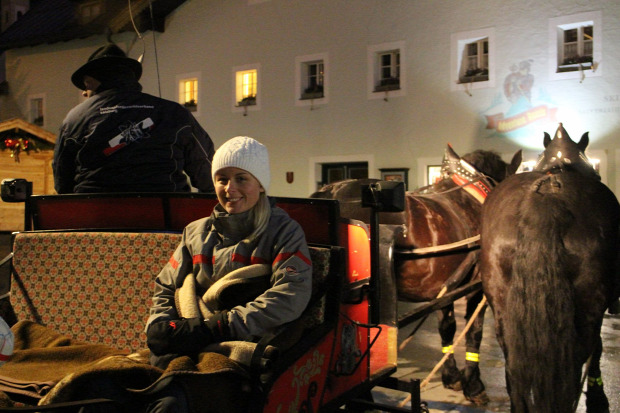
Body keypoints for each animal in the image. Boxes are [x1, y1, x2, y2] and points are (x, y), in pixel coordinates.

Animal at [312, 145, 520, 402]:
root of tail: (332, 190)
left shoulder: (446, 286)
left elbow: (447, 327)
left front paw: (451, 376)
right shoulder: (476, 287)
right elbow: (474, 332)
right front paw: (474, 385)